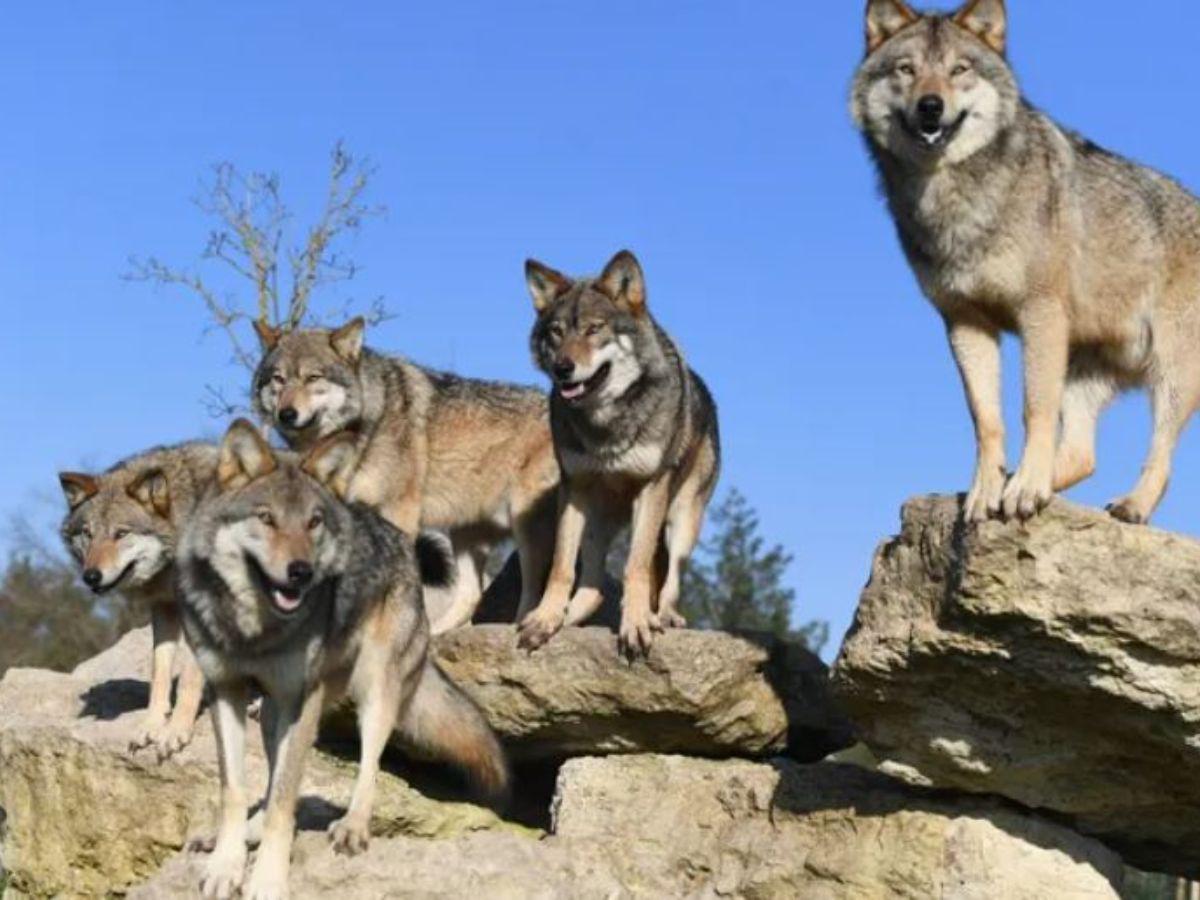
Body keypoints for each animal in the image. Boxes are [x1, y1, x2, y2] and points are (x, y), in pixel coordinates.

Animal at [59, 442, 217, 760]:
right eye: (88, 534)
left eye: (121, 534)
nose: (91, 576)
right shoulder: (164, 607)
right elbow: (160, 672)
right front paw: (151, 726)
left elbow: (189, 678)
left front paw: (176, 730)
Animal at [177, 420, 508, 900]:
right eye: (266, 518)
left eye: (313, 522)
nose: (301, 572)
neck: (256, 632)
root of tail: (400, 539)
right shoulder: (227, 691)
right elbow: (235, 790)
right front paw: (225, 864)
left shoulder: (303, 699)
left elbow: (285, 801)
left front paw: (268, 879)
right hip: (270, 712)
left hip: (373, 692)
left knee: (370, 762)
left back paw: (352, 827)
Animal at [251, 318, 559, 633]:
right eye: (278, 379)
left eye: (313, 378)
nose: (286, 414)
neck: (364, 425)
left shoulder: (399, 513)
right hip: (466, 536)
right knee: (471, 597)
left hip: (525, 524)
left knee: (534, 586)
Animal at [518, 250, 720, 657]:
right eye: (556, 332)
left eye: (595, 329)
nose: (563, 368)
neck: (605, 426)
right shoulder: (574, 487)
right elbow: (561, 567)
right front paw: (545, 619)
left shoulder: (651, 487)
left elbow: (636, 567)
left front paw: (637, 624)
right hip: (597, 522)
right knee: (594, 587)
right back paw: (568, 617)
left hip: (681, 519)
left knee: (670, 578)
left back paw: (663, 617)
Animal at [853, 0, 1200, 524]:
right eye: (906, 69)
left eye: (959, 69)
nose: (930, 105)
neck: (955, 198)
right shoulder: (964, 322)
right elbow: (987, 420)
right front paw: (986, 490)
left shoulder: (1039, 311)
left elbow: (1033, 409)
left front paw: (1024, 490)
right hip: (1083, 374)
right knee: (1083, 454)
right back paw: (1016, 484)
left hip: (1170, 374)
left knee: (1159, 454)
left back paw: (1127, 505)